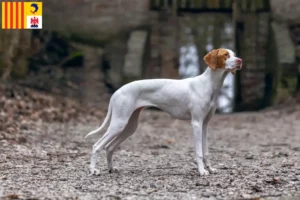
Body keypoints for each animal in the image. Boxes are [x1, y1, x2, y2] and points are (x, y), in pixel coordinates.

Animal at [84, 49, 241, 176]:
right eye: (225, 55)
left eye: (234, 54)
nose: (240, 60)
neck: (208, 85)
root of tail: (116, 91)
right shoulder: (196, 123)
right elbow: (199, 152)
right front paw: (202, 171)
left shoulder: (205, 124)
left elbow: (206, 151)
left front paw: (210, 169)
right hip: (119, 124)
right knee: (97, 146)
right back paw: (93, 170)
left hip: (129, 127)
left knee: (109, 147)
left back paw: (111, 169)